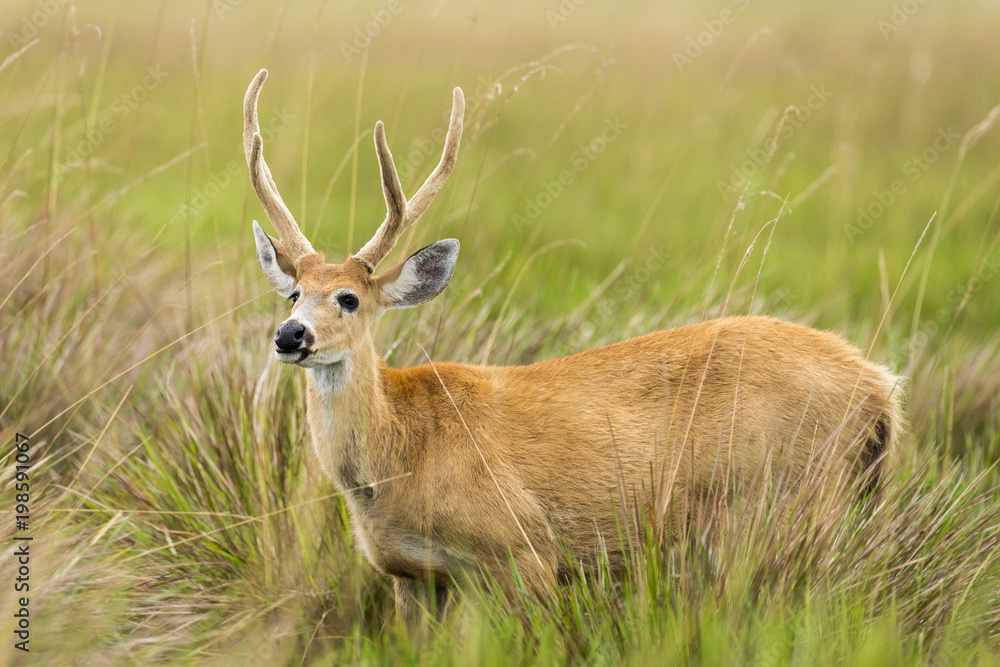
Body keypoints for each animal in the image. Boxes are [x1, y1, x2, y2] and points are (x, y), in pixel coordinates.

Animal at [243, 69, 903, 624]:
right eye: (294, 292)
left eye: (350, 298)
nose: (291, 335)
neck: (401, 452)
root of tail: (880, 389)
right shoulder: (410, 576)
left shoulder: (525, 548)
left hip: (784, 505)